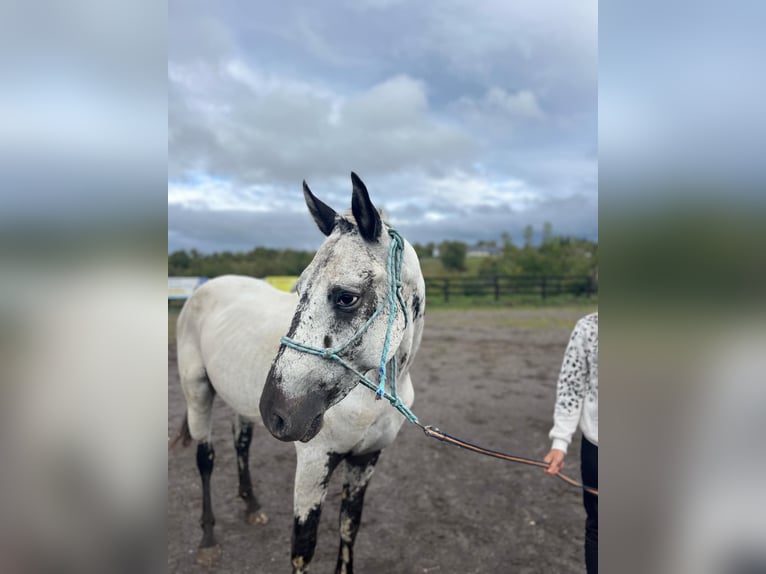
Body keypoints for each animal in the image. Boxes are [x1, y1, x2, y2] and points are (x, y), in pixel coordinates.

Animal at [176, 174, 426, 574]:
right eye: (300, 289)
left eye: (346, 297)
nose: (276, 413)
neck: (371, 400)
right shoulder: (314, 463)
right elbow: (303, 546)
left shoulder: (366, 460)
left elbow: (349, 527)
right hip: (197, 393)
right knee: (206, 459)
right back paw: (208, 541)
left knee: (240, 444)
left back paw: (252, 506)